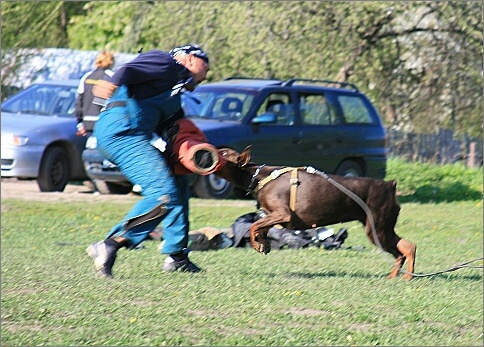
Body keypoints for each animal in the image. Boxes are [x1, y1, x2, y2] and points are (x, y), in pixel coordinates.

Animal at [216, 146, 416, 280]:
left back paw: (407, 277)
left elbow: (253, 225)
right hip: (381, 228)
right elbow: (259, 226)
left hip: (377, 228)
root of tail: (390, 185)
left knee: (406, 248)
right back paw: (395, 276)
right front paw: (262, 243)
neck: (257, 175)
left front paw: (256, 243)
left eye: (224, 153)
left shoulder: (283, 213)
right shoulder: (271, 215)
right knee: (405, 248)